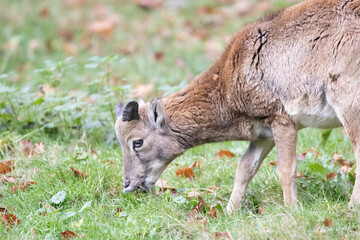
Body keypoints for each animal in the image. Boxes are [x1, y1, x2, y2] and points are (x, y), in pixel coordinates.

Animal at [114, 0, 360, 214]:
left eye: (137, 142)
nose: (128, 184)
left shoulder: (282, 120)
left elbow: (285, 169)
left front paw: (293, 209)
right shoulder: (263, 134)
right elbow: (244, 169)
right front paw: (230, 213)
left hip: (350, 105)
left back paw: (351, 208)